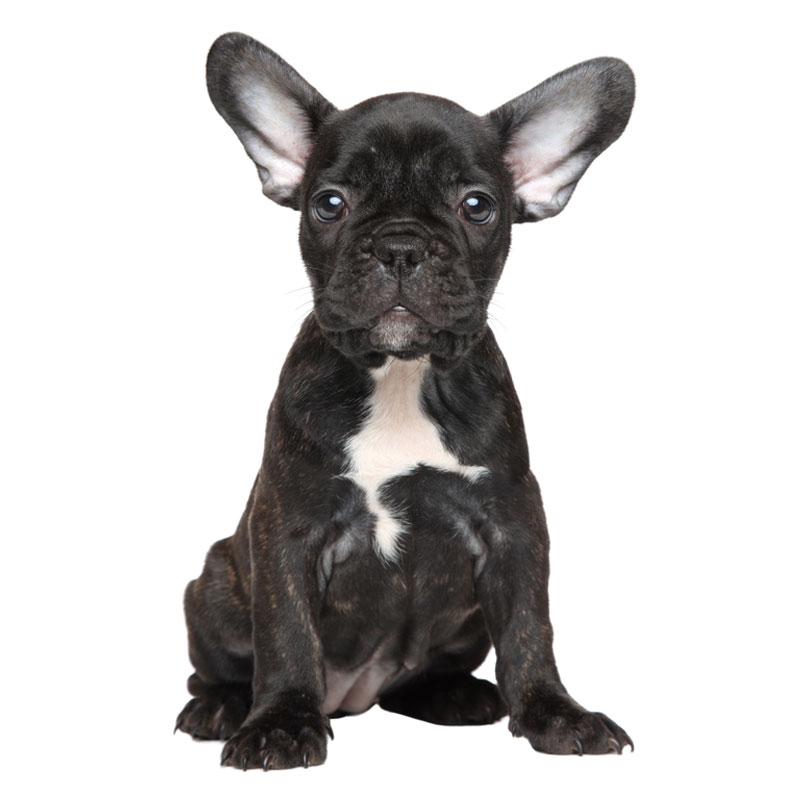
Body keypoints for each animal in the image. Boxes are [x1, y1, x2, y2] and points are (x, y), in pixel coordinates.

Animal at [175, 32, 635, 770]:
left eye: (477, 205)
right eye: (328, 203)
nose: (399, 243)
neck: (402, 374)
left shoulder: (513, 524)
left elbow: (530, 629)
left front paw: (555, 714)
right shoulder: (289, 526)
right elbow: (287, 634)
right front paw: (279, 724)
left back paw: (455, 695)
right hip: (217, 579)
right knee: (218, 665)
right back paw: (220, 707)